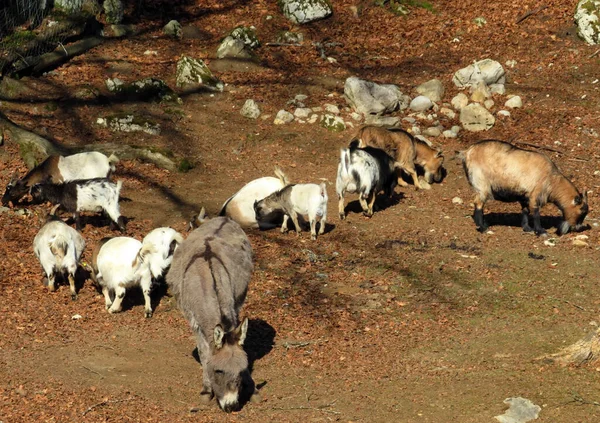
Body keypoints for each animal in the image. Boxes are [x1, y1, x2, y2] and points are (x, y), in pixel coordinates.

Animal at [166, 217, 255, 412]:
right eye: (218, 371)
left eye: (241, 370)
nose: (232, 406)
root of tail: (224, 218)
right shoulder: (196, 324)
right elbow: (205, 354)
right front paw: (207, 391)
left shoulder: (233, 309)